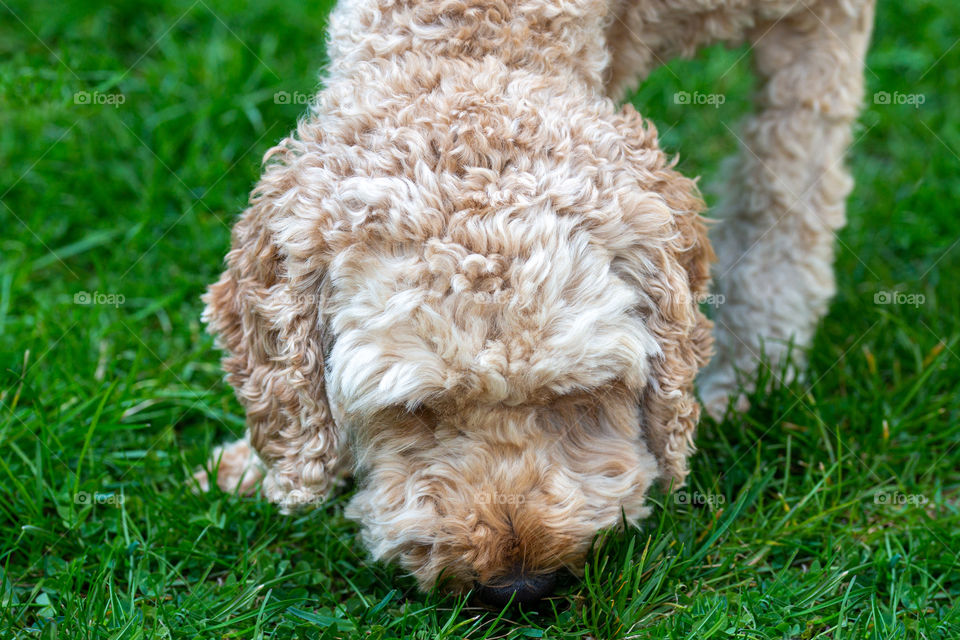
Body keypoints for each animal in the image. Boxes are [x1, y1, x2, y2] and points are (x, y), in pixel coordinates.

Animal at [199, 0, 872, 604]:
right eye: (414, 410)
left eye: (581, 395)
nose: (518, 586)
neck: (474, 30)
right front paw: (267, 462)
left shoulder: (820, 23)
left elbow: (785, 197)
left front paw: (754, 371)